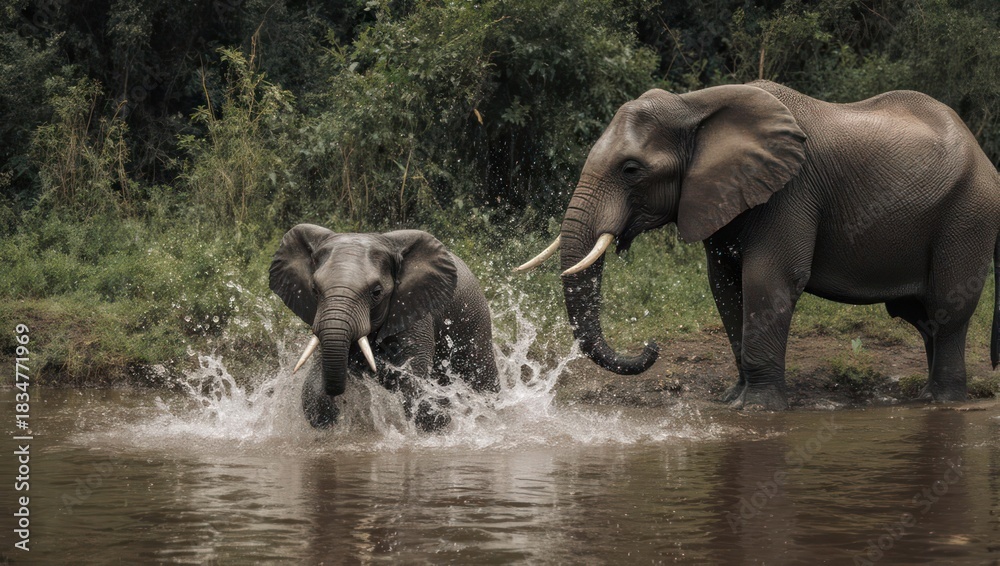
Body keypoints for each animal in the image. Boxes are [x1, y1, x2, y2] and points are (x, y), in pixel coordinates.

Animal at [270, 224, 499, 429]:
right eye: (315, 290)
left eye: (377, 292)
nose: (338, 402)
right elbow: (314, 383)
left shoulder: (414, 308)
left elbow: (412, 377)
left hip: (475, 317)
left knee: (480, 372)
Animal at [517, 80, 1000, 410]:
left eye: (631, 169)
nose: (652, 346)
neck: (695, 105)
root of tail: (987, 161)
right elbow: (724, 285)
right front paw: (732, 400)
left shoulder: (791, 191)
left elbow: (768, 280)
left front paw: (758, 409)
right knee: (922, 316)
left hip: (968, 214)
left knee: (948, 308)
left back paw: (941, 402)